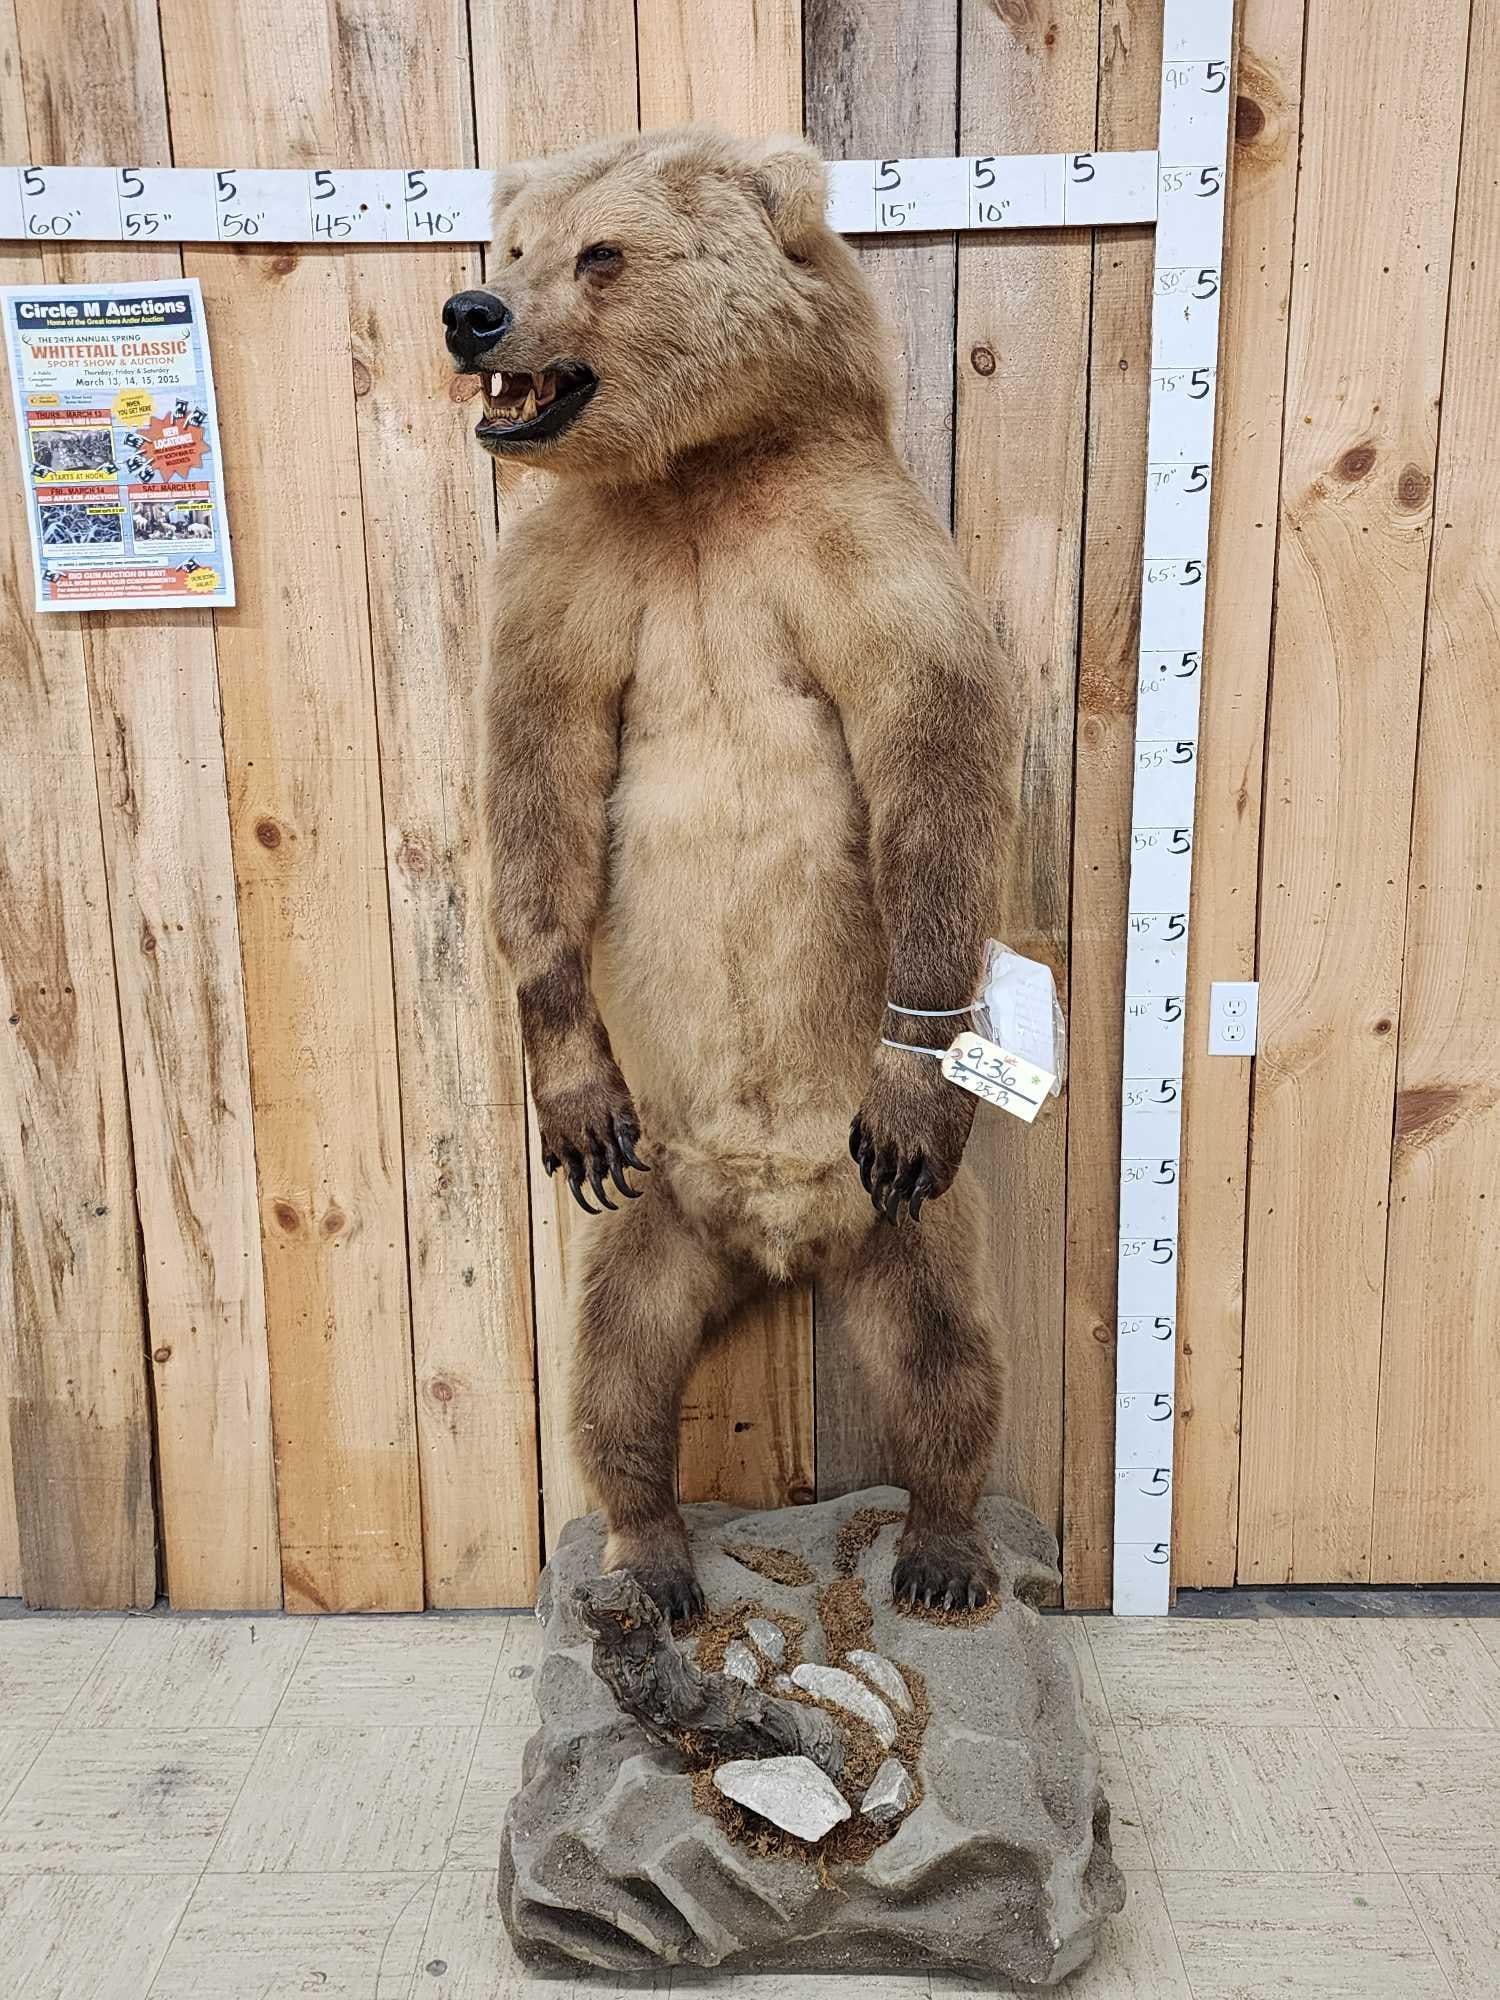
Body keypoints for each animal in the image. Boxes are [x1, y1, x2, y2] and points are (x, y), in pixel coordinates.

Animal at [443, 126, 1014, 1621]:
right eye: (512, 243)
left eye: (602, 252)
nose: (472, 313)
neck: (697, 473)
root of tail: (778, 1234)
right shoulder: (567, 576)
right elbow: (536, 785)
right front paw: (567, 1083)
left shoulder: (863, 550)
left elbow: (936, 755)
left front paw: (920, 1073)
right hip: (656, 1201)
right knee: (615, 1361)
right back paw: (649, 1557)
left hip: (904, 1220)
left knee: (948, 1356)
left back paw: (943, 1551)